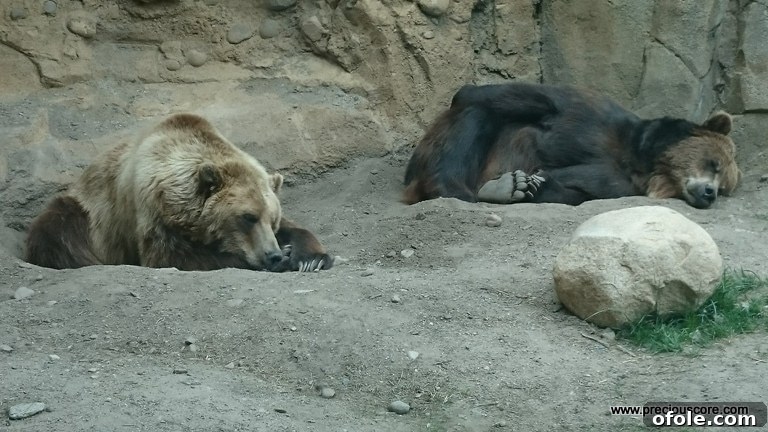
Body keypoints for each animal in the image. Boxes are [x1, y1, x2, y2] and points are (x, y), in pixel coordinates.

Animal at [25, 113, 333, 272]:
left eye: (273, 219)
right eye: (248, 217)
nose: (273, 255)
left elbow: (299, 230)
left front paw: (309, 258)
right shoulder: (152, 212)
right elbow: (174, 256)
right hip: (87, 213)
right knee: (59, 231)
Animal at [403, 82, 741, 209]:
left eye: (724, 187)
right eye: (714, 163)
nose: (709, 193)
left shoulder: (616, 186)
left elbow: (572, 189)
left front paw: (524, 185)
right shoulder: (583, 112)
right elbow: (493, 96)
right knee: (474, 118)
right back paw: (456, 188)